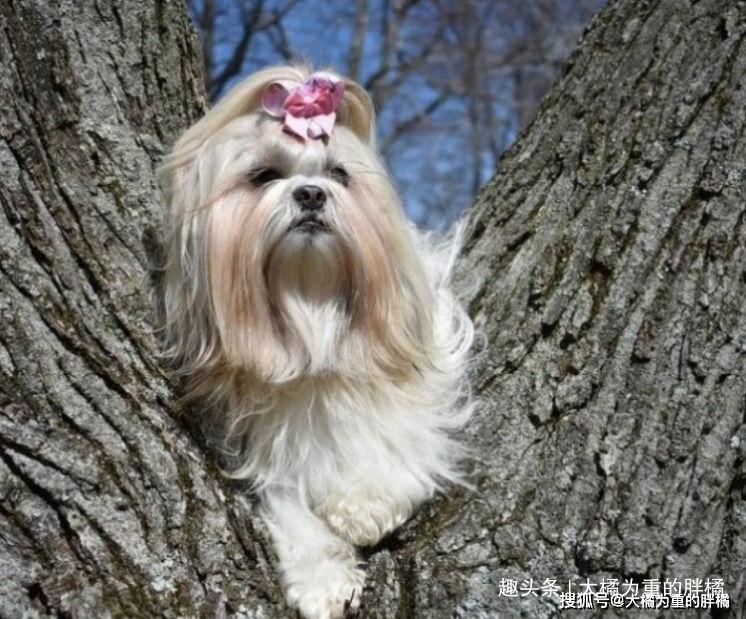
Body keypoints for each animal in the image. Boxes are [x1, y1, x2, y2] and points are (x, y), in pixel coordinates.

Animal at [161, 65, 474, 616]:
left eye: (339, 174)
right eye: (264, 175)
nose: (310, 193)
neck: (311, 305)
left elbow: (400, 426)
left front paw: (364, 502)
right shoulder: (253, 438)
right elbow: (284, 498)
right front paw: (322, 579)